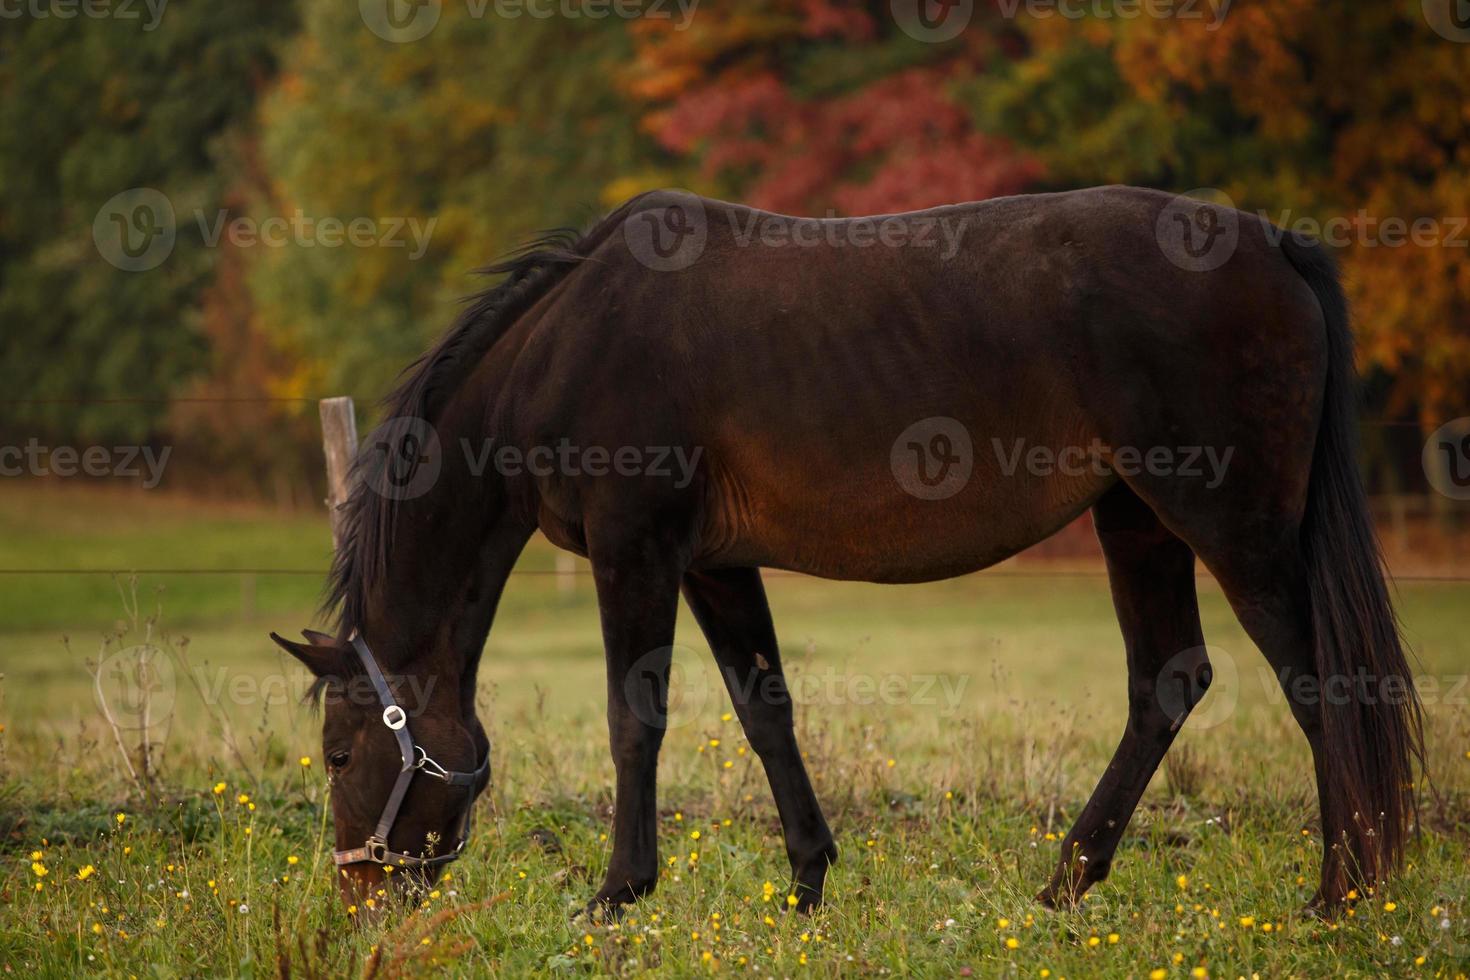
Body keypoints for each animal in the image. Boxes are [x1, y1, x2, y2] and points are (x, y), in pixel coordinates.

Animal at [270, 185, 1417, 922]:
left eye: (340, 753)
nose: (357, 899)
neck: (567, 344)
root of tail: (1274, 242)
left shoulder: (635, 548)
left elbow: (635, 720)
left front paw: (617, 893)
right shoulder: (712, 562)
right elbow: (765, 709)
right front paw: (808, 883)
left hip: (1230, 528)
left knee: (1320, 685)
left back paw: (1339, 895)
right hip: (1136, 521)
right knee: (1166, 680)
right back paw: (1063, 884)